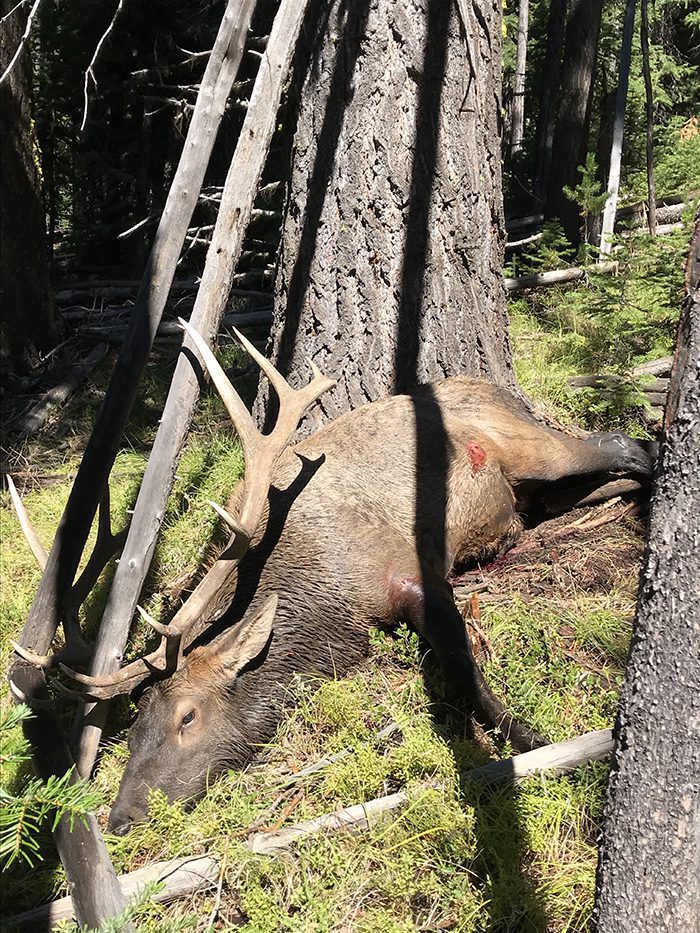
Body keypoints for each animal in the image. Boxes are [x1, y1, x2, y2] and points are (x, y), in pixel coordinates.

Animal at [10, 321, 656, 835]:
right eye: (134, 725)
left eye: (186, 716)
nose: (121, 817)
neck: (321, 604)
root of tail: (496, 387)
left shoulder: (404, 572)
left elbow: (463, 669)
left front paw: (531, 739)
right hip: (528, 495)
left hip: (534, 448)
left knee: (627, 443)